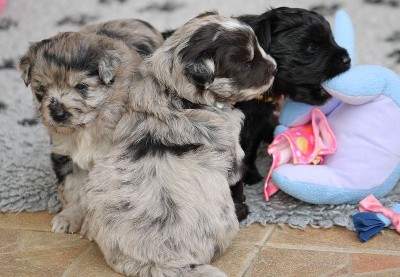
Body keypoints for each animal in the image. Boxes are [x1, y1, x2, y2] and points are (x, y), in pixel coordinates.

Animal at [18, 18, 162, 233]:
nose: (58, 114)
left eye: (81, 87)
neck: (86, 127)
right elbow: (72, 189)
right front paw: (69, 218)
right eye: (41, 90)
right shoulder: (65, 155)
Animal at [80, 11, 276, 276]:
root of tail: (159, 261)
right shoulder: (233, 152)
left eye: (258, 46)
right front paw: (244, 209)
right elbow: (238, 185)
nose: (274, 67)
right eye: (246, 63)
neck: (174, 92)